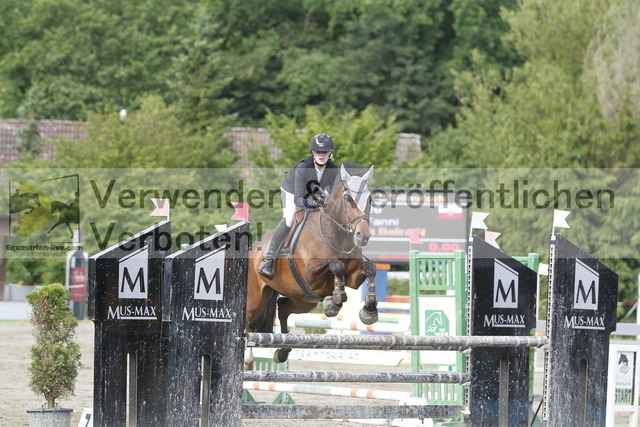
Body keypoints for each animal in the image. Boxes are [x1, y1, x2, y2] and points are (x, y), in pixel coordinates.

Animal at [246, 164, 379, 366]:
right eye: (348, 199)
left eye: (370, 198)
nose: (363, 236)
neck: (337, 236)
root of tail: (253, 248)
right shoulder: (311, 275)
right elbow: (335, 265)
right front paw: (334, 302)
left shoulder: (354, 278)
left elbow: (370, 269)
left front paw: (369, 310)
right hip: (255, 298)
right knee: (247, 320)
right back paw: (247, 358)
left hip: (302, 300)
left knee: (283, 307)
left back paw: (283, 351)